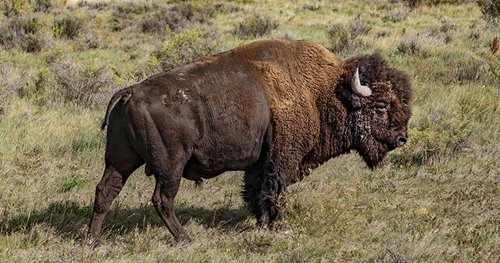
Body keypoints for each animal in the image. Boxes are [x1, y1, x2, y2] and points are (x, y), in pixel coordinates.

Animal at [86, 39, 412, 245]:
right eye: (381, 105)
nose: (401, 138)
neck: (323, 92)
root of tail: (130, 92)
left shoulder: (259, 162)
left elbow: (256, 191)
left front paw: (260, 223)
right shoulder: (280, 160)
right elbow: (272, 191)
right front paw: (277, 226)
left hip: (121, 160)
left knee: (105, 191)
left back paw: (93, 241)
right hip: (170, 165)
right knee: (162, 199)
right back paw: (184, 239)